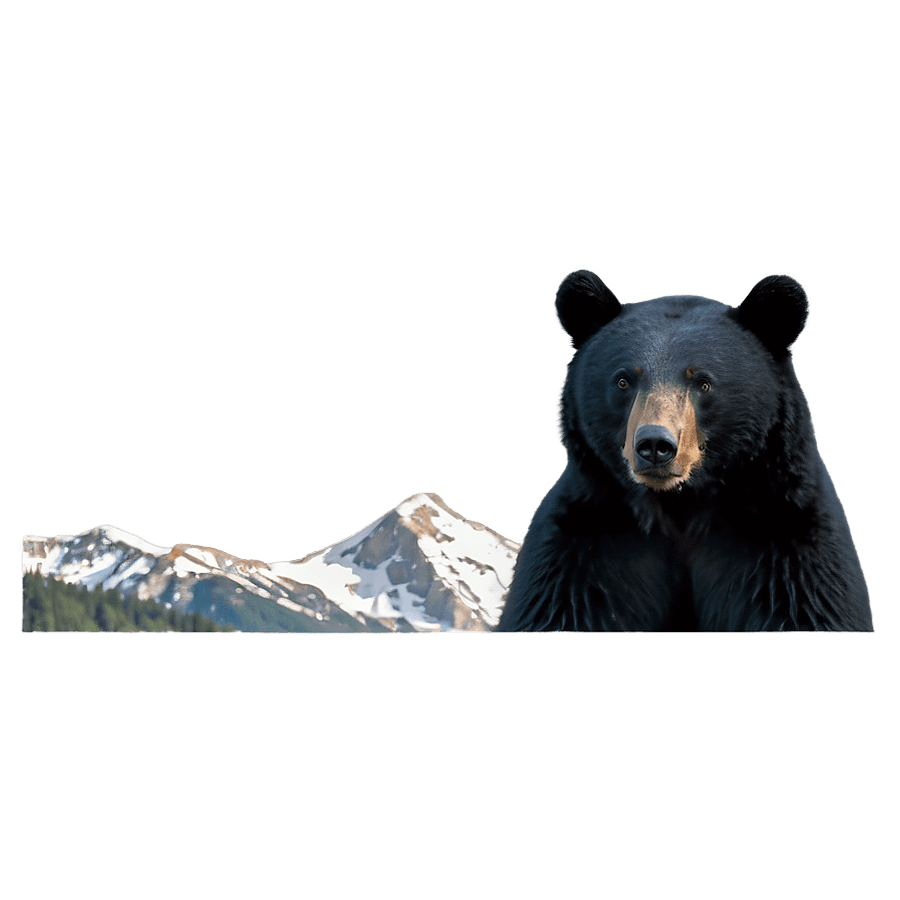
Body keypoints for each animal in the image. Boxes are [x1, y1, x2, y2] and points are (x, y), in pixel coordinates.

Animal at [497, 269, 873, 632]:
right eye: (623, 380)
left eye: (703, 382)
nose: (655, 445)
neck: (679, 509)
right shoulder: (583, 545)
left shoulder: (788, 543)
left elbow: (808, 604)